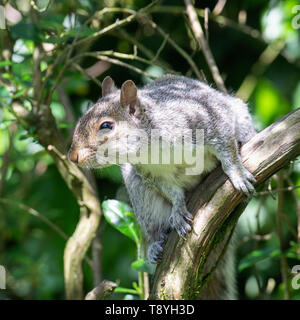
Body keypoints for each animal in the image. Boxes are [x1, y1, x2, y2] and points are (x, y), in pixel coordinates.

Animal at [68, 75, 255, 300]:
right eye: (80, 120)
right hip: (140, 193)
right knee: (153, 227)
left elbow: (226, 148)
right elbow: (172, 192)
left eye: (106, 125)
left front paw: (237, 172)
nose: (72, 156)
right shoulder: (151, 175)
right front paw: (178, 210)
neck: (149, 146)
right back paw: (156, 245)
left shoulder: (208, 120)